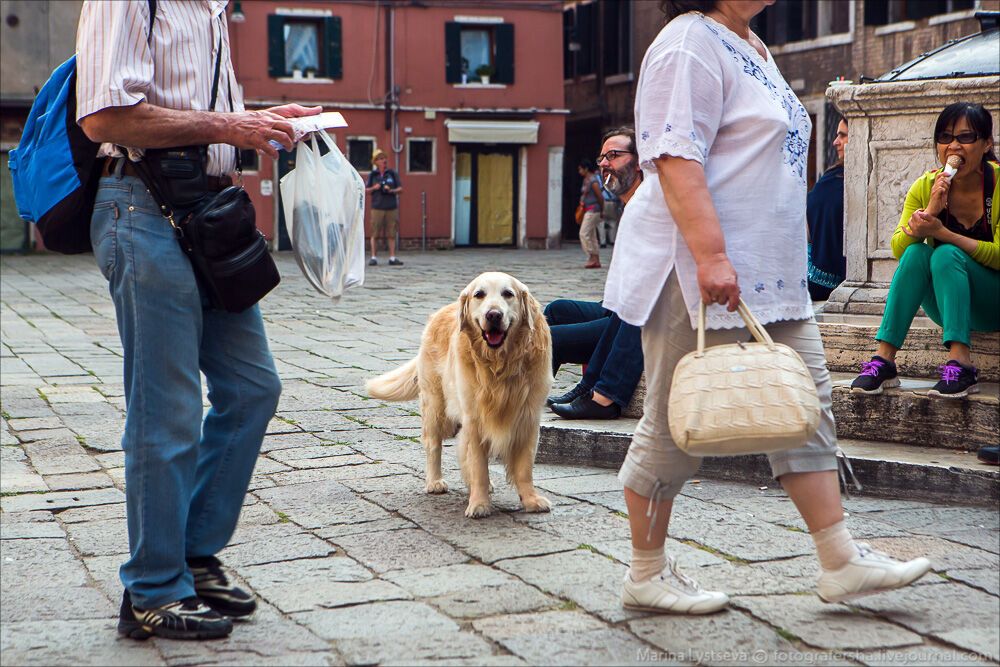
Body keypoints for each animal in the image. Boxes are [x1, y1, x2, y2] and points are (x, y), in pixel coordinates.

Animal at [368, 274, 556, 520]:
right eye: (479, 295)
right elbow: (478, 466)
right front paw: (479, 504)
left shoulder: (528, 418)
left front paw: (531, 500)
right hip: (436, 407)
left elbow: (524, 468)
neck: (500, 364)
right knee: (433, 445)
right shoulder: (474, 418)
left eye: (508, 294)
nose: (493, 315)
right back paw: (435, 482)